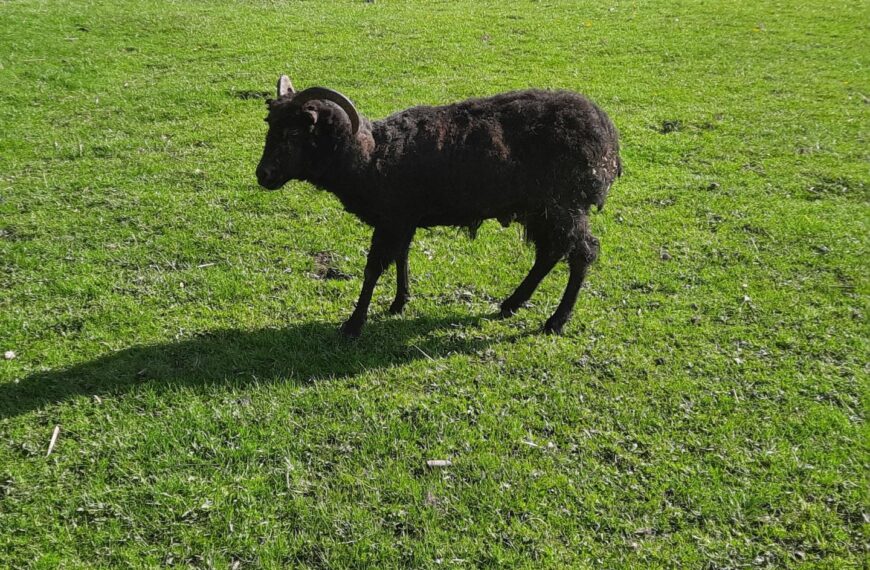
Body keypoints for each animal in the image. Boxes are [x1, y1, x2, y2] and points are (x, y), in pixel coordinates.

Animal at [256, 75, 622, 338]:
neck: (371, 156)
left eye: (294, 132)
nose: (263, 175)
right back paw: (511, 304)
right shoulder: (403, 219)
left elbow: (373, 269)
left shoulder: (391, 219)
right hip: (540, 208)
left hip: (565, 203)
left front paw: (354, 324)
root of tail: (607, 135)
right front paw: (399, 303)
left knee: (582, 252)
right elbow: (402, 257)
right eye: (270, 125)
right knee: (549, 253)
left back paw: (555, 321)